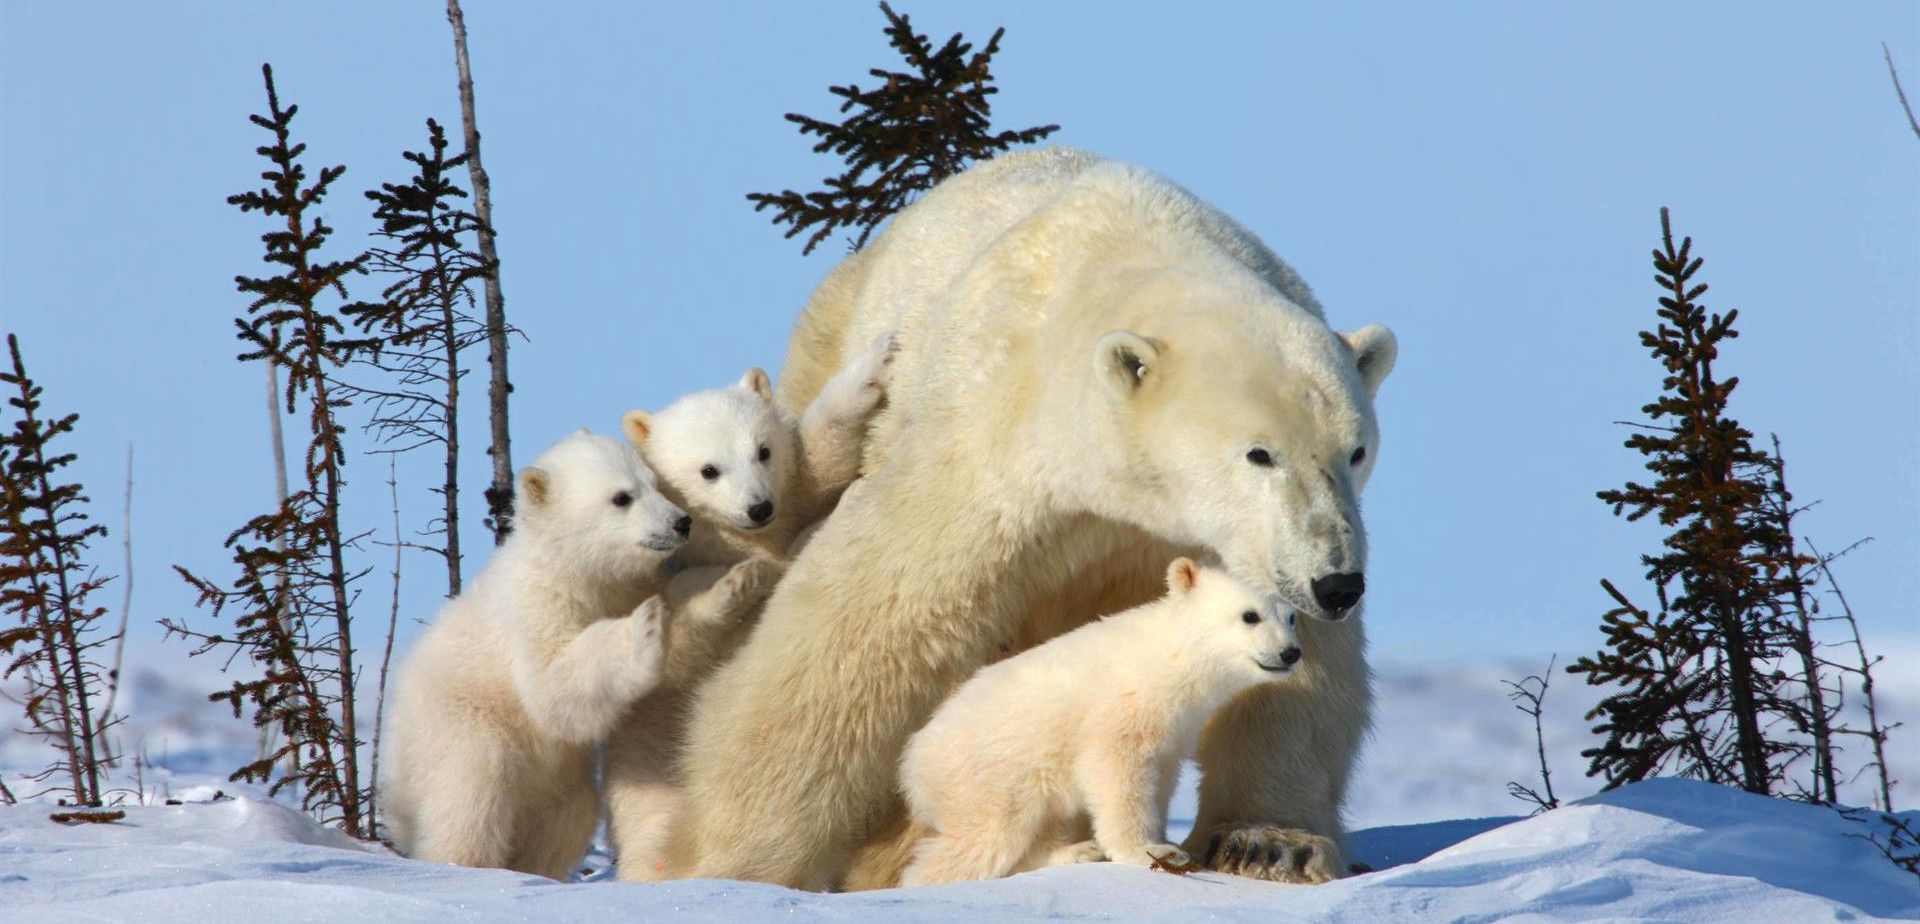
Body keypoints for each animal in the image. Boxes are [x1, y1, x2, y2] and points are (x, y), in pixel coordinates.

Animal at [374, 432, 764, 879]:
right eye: (621, 497)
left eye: (654, 484)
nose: (680, 522)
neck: (575, 572)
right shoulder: (534, 608)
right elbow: (552, 687)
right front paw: (643, 628)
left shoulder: (631, 585)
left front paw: (735, 583)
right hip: (461, 732)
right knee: (471, 799)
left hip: (557, 785)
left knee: (568, 819)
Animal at [898, 557, 1305, 883]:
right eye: (1250, 615)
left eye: (1291, 617)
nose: (1291, 652)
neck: (1171, 657)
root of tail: (913, 760)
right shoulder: (1122, 708)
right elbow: (1118, 776)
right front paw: (1151, 851)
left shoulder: (1175, 731)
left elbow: (1161, 779)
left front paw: (1167, 841)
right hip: (990, 775)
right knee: (983, 839)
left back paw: (1075, 851)